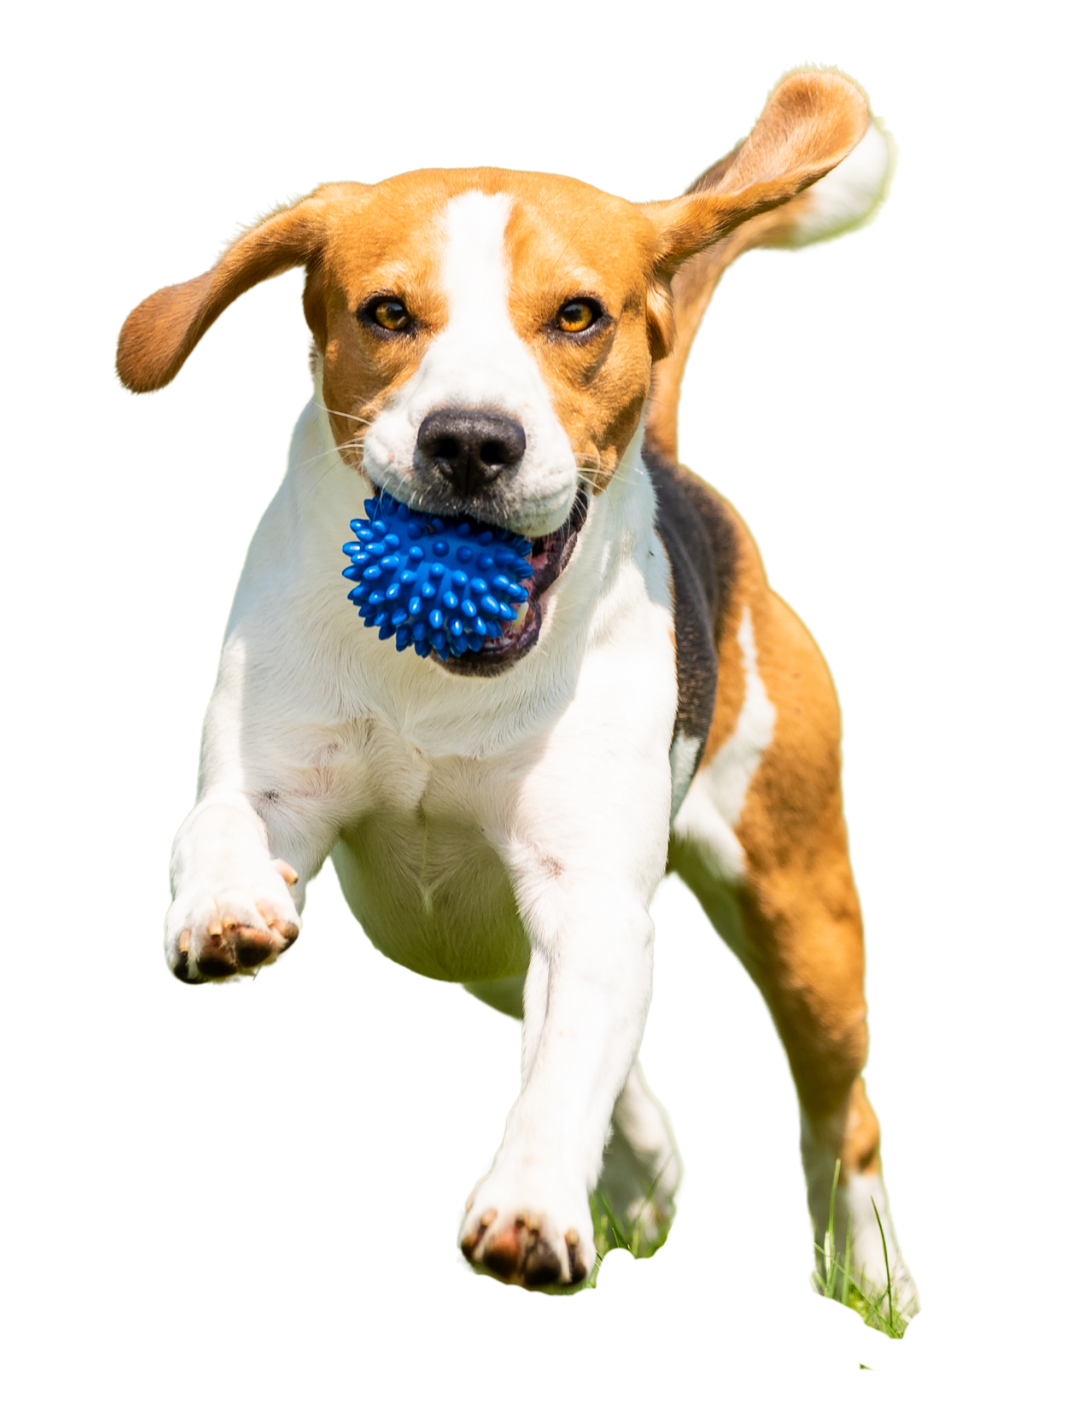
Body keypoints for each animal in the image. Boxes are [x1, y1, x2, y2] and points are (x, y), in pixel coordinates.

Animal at [116, 66, 917, 1319]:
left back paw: (872, 1276)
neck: (440, 684)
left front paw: (532, 1207)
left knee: (837, 1114)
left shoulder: (586, 891)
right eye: (388, 313)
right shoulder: (275, 779)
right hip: (471, 945)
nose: (470, 442)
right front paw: (225, 911)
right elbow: (223, 827)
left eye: (577, 315)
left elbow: (570, 1069)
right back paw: (645, 1171)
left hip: (800, 910)